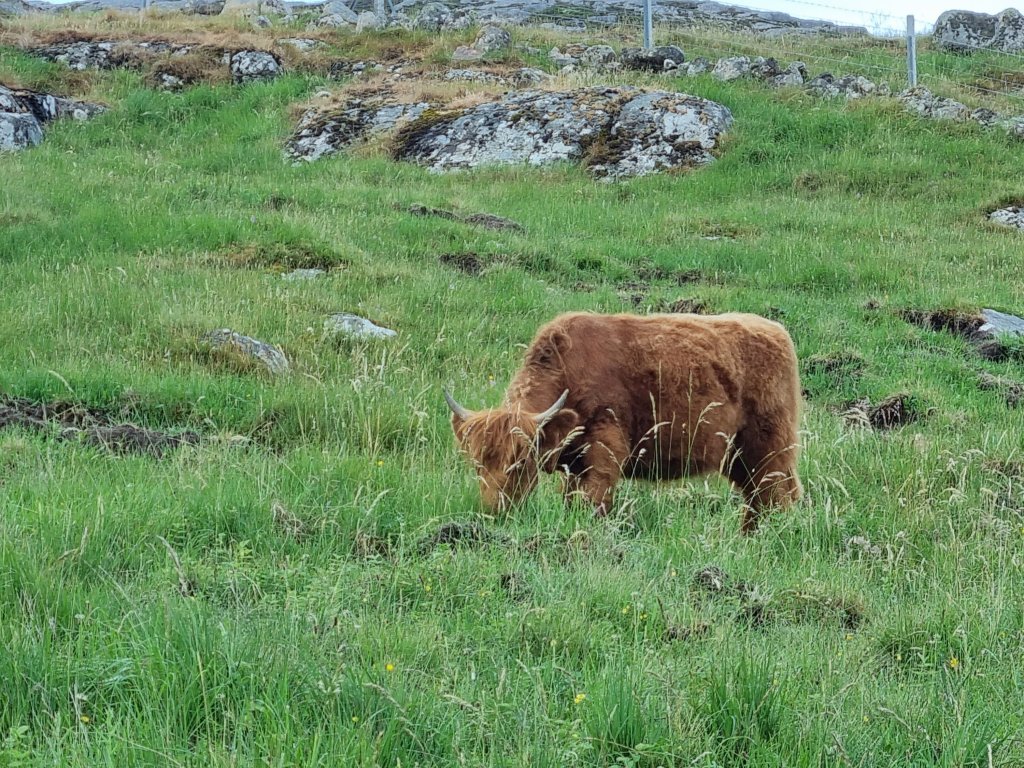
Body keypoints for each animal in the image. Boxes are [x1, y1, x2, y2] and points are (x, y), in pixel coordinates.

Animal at [444, 311, 803, 533]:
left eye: (519, 463)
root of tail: (776, 331)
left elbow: (593, 500)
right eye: (477, 463)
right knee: (762, 499)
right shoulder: (574, 466)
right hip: (739, 458)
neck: (567, 375)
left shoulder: (603, 453)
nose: (494, 511)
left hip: (767, 451)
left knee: (775, 497)